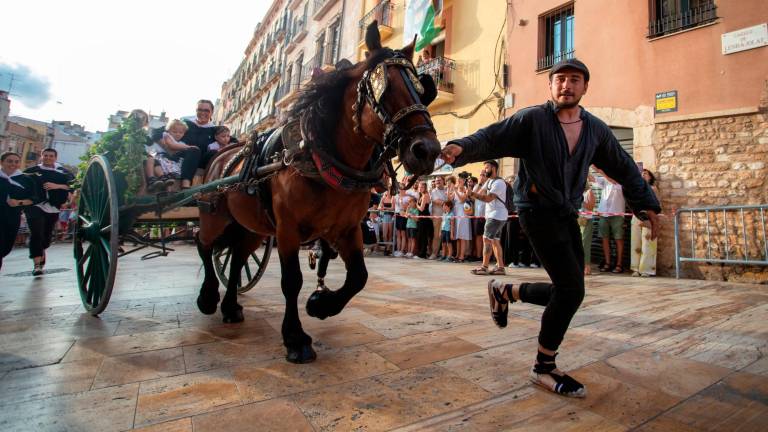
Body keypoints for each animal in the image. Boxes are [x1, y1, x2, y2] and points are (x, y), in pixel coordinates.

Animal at [195, 22, 440, 362]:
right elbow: (292, 280)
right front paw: (295, 337)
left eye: (422, 89)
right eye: (384, 87)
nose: (427, 150)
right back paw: (207, 297)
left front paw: (321, 305)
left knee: (236, 257)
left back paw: (230, 306)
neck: (320, 156)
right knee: (204, 245)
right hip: (216, 217)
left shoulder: (347, 229)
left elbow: (359, 276)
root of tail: (222, 155)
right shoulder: (287, 229)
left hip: (253, 228)